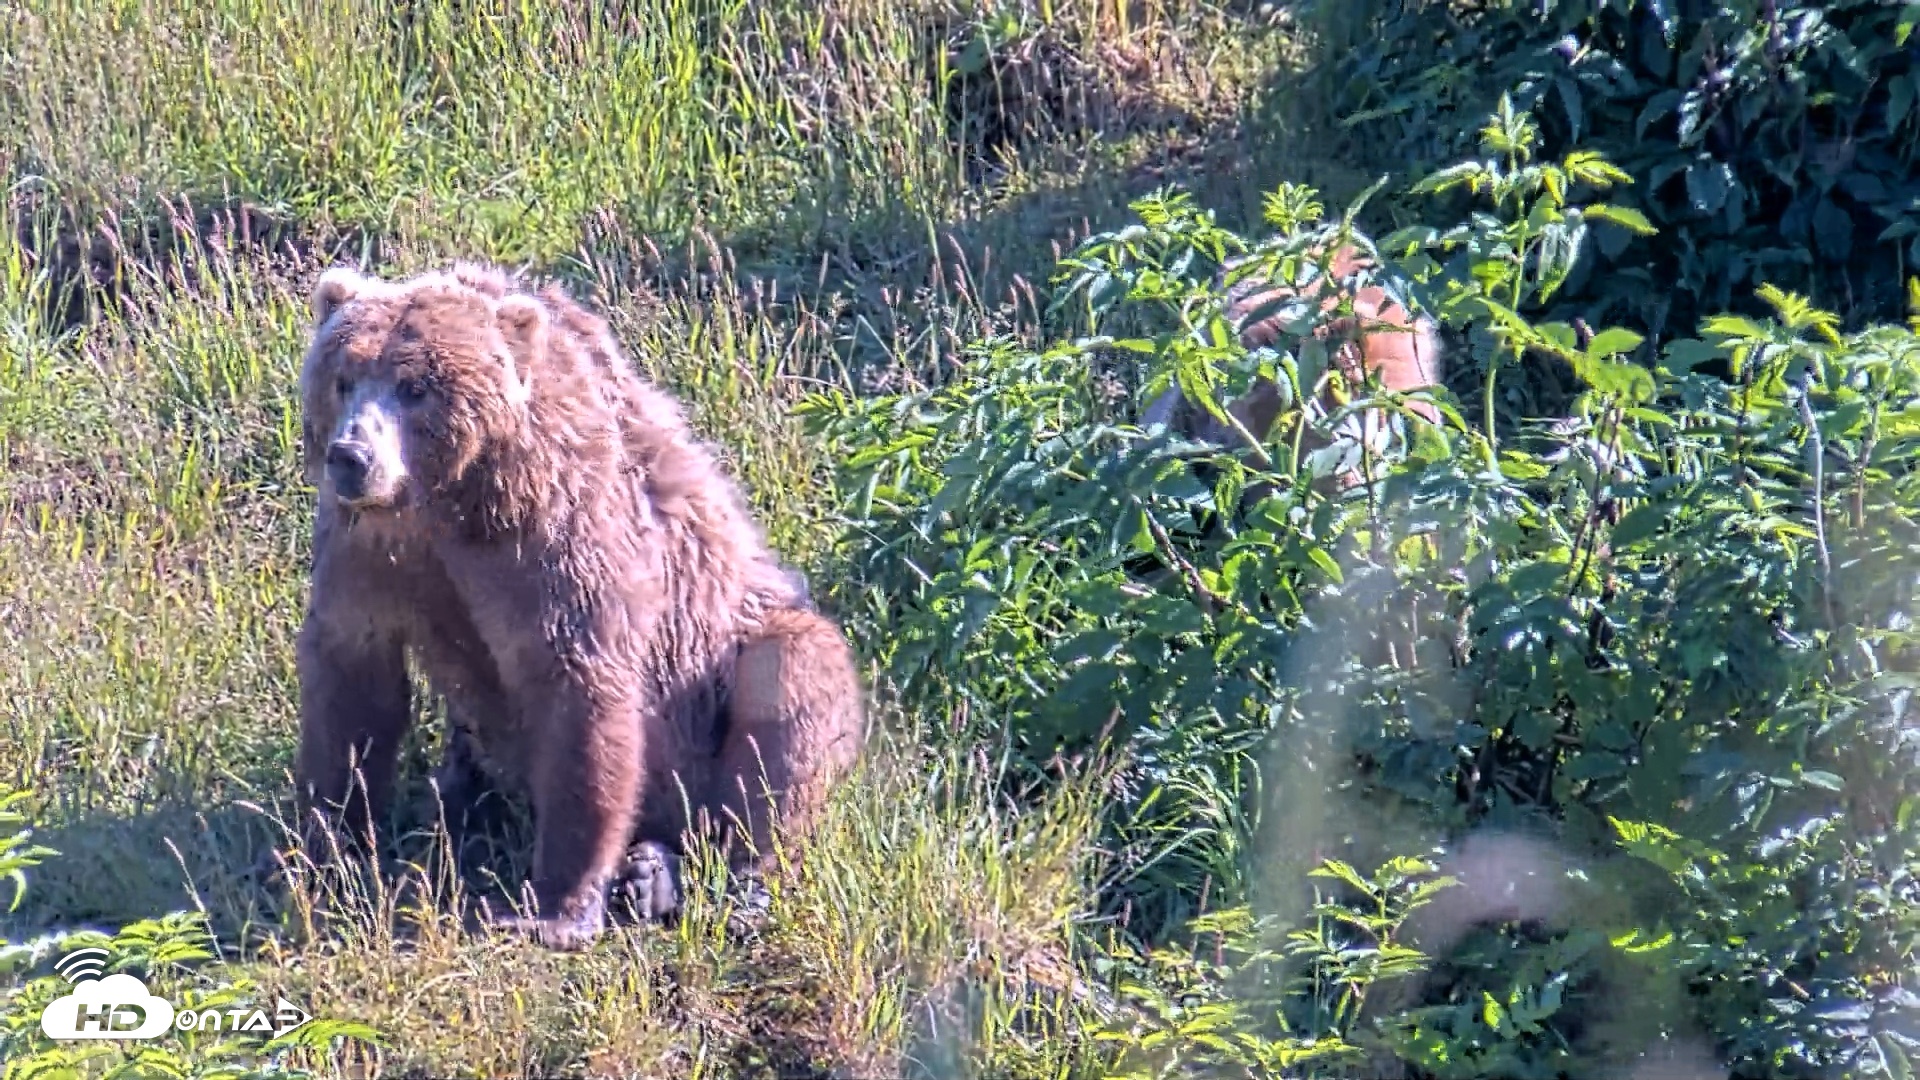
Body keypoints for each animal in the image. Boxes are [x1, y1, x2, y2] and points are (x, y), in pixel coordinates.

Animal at [288, 259, 866, 950]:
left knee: (788, 692)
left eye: (415, 386)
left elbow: (582, 695)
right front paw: (326, 848)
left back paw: (725, 882)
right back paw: (642, 871)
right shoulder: (371, 552)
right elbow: (353, 682)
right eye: (343, 377)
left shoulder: (560, 535)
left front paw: (550, 910)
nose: (351, 456)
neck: (453, 498)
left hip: (728, 664)